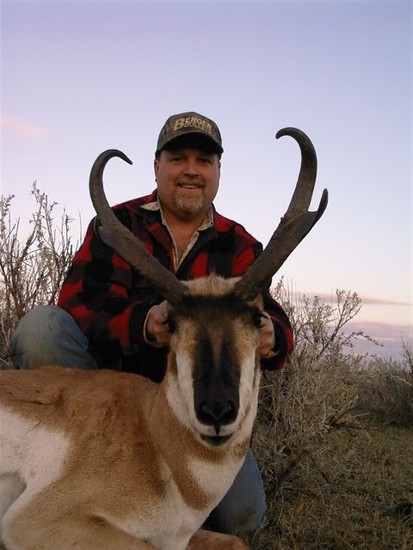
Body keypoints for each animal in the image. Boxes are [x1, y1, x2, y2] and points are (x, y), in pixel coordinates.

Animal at [0, 128, 328, 550]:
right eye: (171, 321)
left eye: (258, 318)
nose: (217, 411)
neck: (157, 438)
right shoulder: (32, 522)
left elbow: (237, 541)